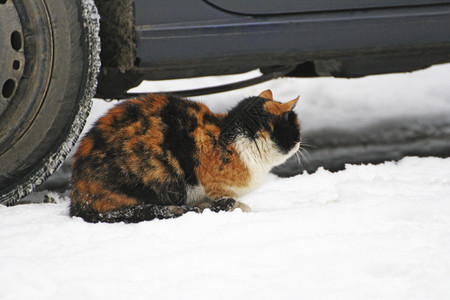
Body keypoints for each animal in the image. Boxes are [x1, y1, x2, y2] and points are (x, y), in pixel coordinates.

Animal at [70, 89, 300, 223]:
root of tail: (78, 199)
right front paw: (235, 207)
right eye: (296, 129)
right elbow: (223, 200)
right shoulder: (212, 186)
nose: (300, 143)